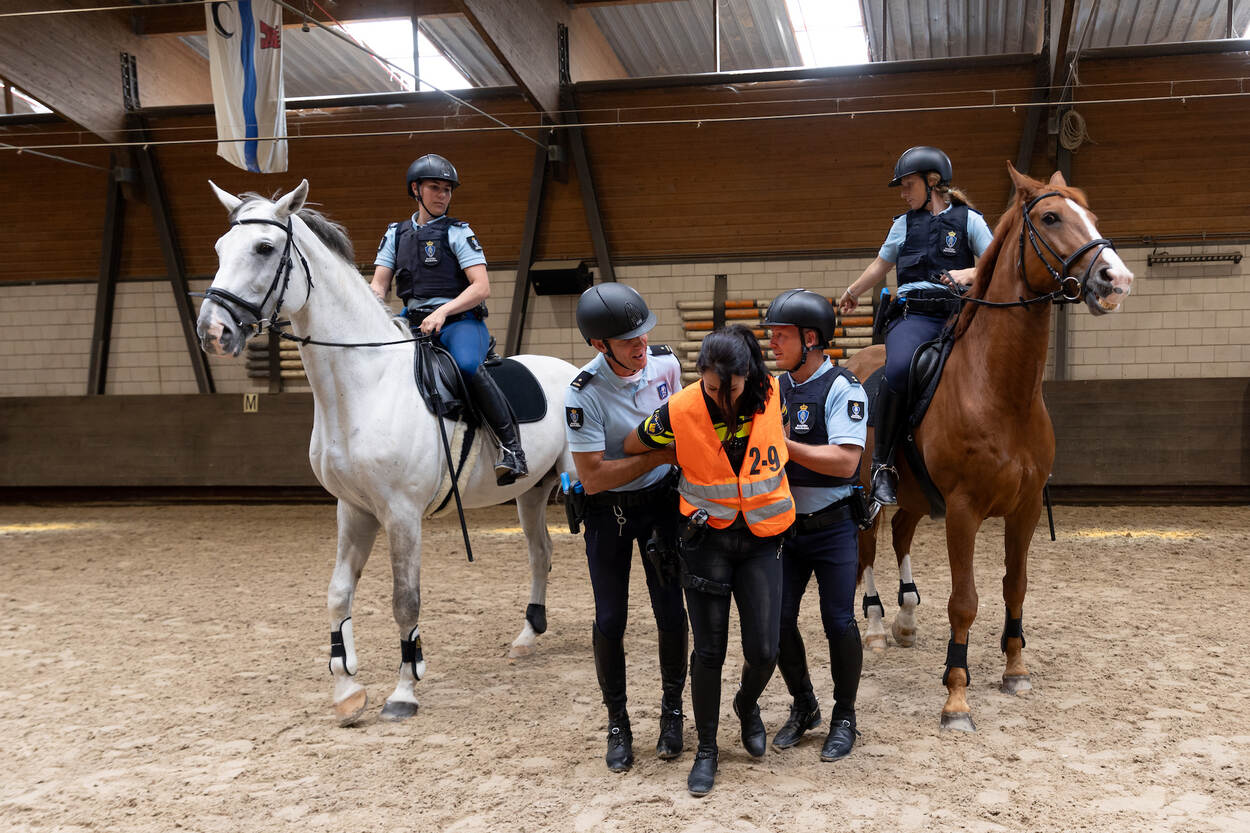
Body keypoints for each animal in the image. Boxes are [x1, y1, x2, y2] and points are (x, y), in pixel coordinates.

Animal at [197, 180, 577, 720]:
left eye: (265, 248)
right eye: (219, 249)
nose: (213, 331)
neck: (363, 384)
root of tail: (574, 369)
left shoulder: (401, 513)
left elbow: (405, 600)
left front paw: (403, 692)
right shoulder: (353, 509)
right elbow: (338, 593)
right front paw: (346, 689)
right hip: (531, 492)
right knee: (540, 552)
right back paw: (527, 636)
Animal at [850, 163, 1135, 725]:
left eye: (1091, 216)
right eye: (1051, 218)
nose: (1116, 280)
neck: (1001, 392)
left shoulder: (1024, 510)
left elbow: (1014, 587)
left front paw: (1015, 671)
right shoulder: (963, 510)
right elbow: (965, 599)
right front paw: (956, 695)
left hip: (916, 498)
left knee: (901, 535)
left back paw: (906, 619)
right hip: (871, 494)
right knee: (868, 550)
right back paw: (873, 629)